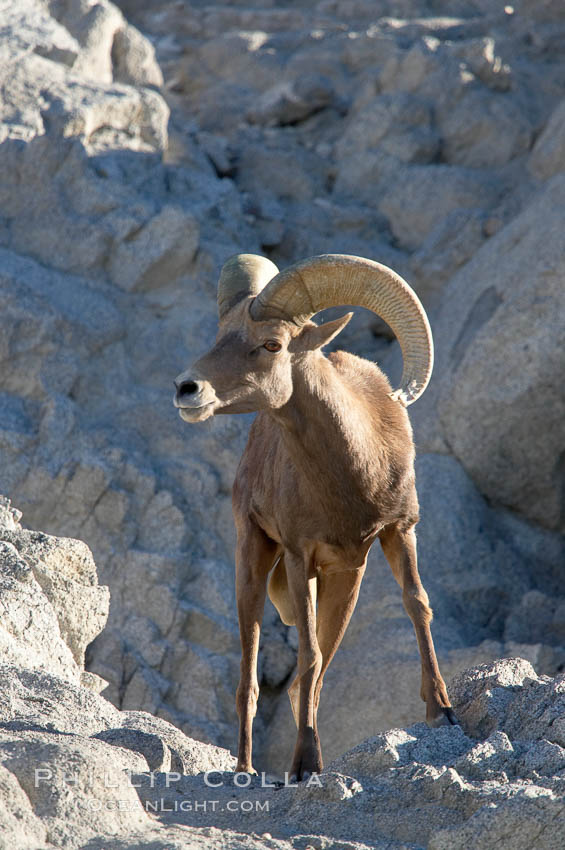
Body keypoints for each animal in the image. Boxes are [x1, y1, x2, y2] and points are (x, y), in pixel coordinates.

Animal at [172, 253, 454, 780]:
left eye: (272, 343)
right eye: (221, 334)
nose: (187, 389)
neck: (354, 475)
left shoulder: (397, 533)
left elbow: (417, 606)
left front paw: (442, 712)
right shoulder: (300, 557)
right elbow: (307, 654)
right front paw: (305, 764)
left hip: (344, 586)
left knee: (315, 676)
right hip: (254, 561)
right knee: (251, 680)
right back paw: (245, 769)